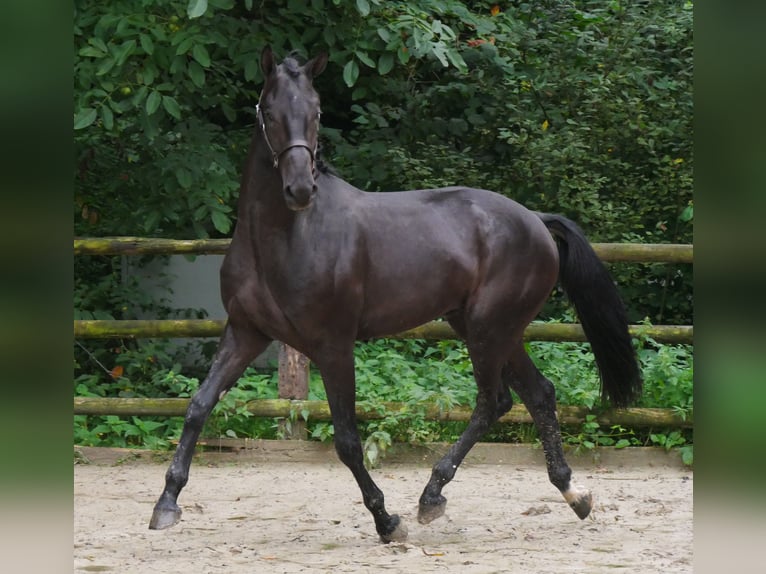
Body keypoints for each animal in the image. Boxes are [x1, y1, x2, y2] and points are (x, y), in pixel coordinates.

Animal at [148, 46, 640, 544]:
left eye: (317, 112)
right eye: (268, 111)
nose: (300, 189)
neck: (284, 238)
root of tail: (537, 221)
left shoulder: (332, 345)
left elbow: (347, 441)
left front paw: (386, 520)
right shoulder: (246, 333)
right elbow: (198, 405)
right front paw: (166, 503)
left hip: (489, 328)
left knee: (493, 400)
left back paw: (431, 497)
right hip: (488, 327)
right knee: (537, 393)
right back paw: (572, 494)